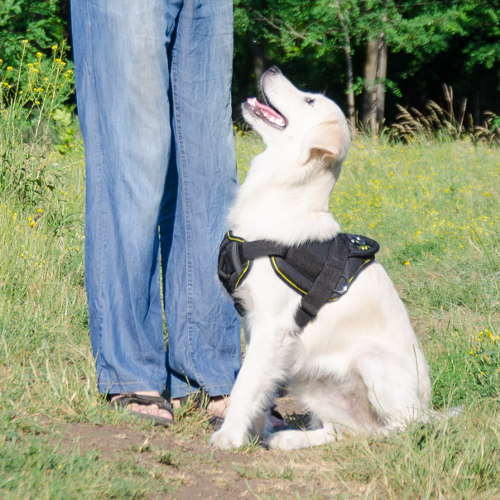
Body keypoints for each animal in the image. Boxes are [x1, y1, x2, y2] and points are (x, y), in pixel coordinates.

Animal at [210, 64, 430, 452]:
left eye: (309, 100)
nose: (271, 67)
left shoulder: (272, 326)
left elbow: (245, 384)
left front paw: (229, 436)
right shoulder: (260, 328)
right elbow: (259, 386)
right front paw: (253, 433)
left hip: (371, 362)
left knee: (406, 426)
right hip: (307, 375)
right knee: (345, 431)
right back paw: (289, 439)